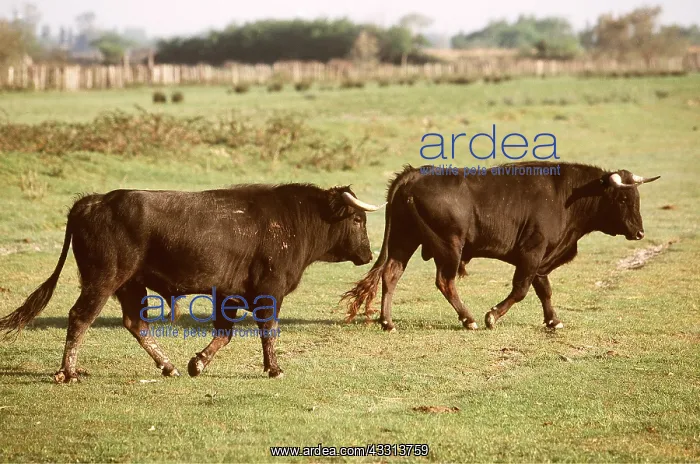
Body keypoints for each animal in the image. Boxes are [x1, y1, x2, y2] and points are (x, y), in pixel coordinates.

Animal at [0, 184, 385, 383]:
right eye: (357, 219)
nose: (367, 253)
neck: (294, 219)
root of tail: (91, 202)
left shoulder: (229, 294)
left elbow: (224, 333)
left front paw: (196, 363)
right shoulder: (269, 291)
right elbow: (268, 331)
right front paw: (274, 368)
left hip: (131, 285)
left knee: (135, 323)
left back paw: (168, 366)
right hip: (104, 280)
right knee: (80, 317)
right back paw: (68, 372)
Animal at [342, 162, 660, 332]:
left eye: (637, 198)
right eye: (622, 199)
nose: (639, 232)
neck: (566, 194)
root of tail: (416, 173)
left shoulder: (541, 258)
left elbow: (543, 289)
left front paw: (553, 321)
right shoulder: (532, 252)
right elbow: (521, 289)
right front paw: (492, 316)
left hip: (404, 240)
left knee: (391, 274)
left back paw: (387, 322)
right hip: (449, 246)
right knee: (445, 281)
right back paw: (469, 319)